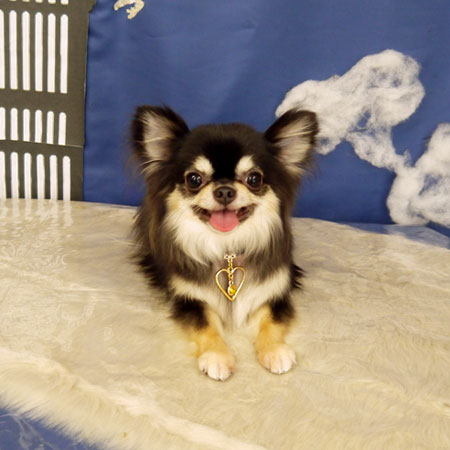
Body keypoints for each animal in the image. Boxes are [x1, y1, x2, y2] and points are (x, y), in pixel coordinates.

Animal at [131, 106, 318, 380]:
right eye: (194, 179)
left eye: (254, 179)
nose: (225, 190)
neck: (227, 247)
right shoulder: (189, 299)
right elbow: (205, 325)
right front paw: (217, 356)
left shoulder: (277, 291)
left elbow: (272, 320)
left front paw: (275, 350)